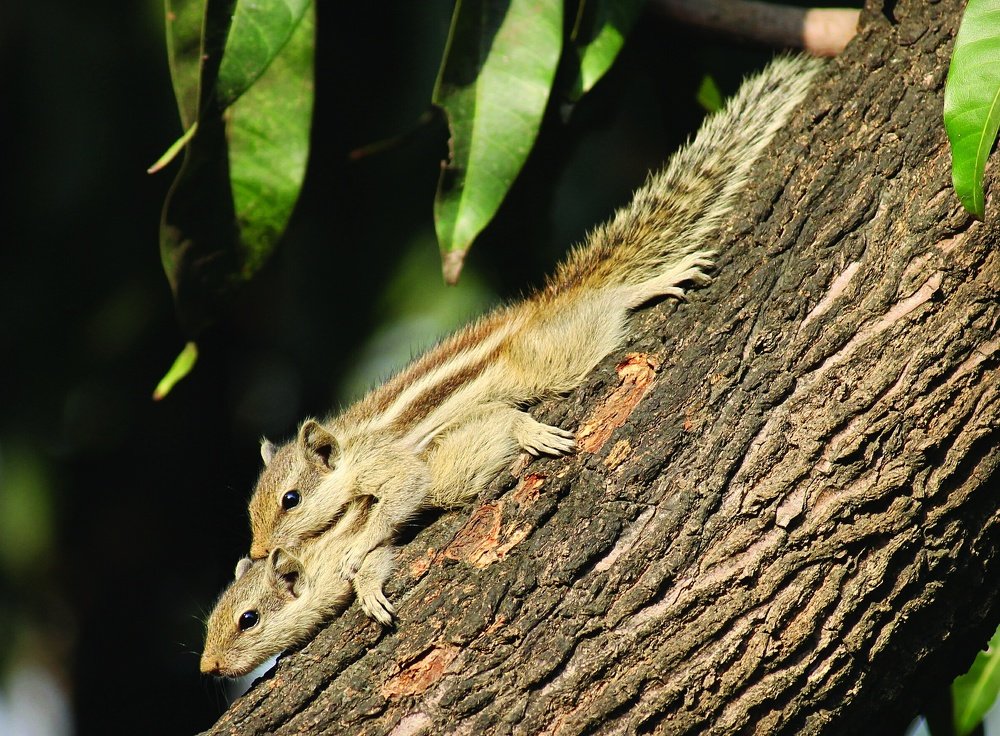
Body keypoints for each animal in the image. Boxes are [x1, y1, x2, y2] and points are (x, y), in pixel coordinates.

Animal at [201, 498, 397, 677]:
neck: (313, 568)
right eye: (211, 621)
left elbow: (377, 554)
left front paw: (370, 595)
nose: (207, 667)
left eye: (248, 619)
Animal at [244, 55, 823, 583]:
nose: (256, 552)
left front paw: (364, 551)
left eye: (291, 499)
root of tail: (544, 306)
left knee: (609, 304)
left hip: (555, 356)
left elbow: (404, 493)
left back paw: (649, 284)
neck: (351, 447)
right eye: (253, 508)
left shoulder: (388, 464)